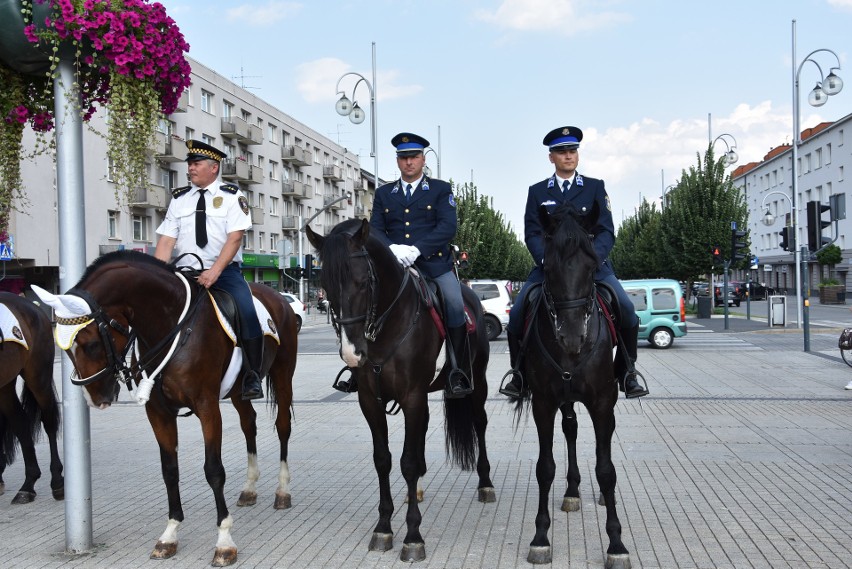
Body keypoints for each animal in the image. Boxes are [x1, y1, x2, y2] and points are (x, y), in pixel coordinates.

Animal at [0, 290, 63, 504]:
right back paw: (27, 485)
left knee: (49, 422)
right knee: (20, 422)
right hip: (6, 384)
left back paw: (56, 482)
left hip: (38, 377)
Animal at [31, 251, 298, 564]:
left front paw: (224, 541)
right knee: (249, 425)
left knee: (283, 427)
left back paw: (283, 491)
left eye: (91, 343)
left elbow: (214, 470)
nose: (96, 397)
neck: (170, 325)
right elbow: (169, 470)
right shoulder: (158, 413)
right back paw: (249, 488)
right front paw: (169, 535)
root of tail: (278, 296)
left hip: (282, 374)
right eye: (65, 349)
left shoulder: (208, 408)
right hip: (237, 392)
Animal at [306, 220, 496, 560]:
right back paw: (417, 490)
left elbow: (406, 463)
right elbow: (383, 459)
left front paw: (413, 535)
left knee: (479, 422)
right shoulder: (370, 400)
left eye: (363, 282)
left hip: (477, 382)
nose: (352, 353)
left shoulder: (411, 396)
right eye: (325, 284)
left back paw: (485, 483)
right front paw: (383, 527)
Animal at [512, 203, 632, 568]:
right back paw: (572, 491)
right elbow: (545, 467)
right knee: (571, 429)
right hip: (565, 400)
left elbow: (606, 470)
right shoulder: (543, 404)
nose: (572, 336)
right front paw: (540, 538)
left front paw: (616, 543)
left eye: (592, 265)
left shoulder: (603, 403)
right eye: (548, 266)